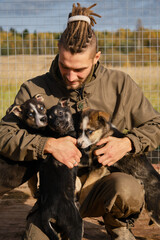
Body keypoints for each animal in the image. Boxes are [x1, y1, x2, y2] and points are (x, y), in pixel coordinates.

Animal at [38, 97, 82, 240]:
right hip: (76, 223)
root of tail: (48, 212)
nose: (56, 124)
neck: (61, 134)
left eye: (60, 113)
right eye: (49, 118)